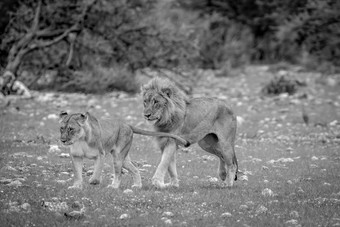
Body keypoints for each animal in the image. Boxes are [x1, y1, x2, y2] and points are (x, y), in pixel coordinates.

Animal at [59, 111, 190, 189]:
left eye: (71, 129)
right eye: (61, 128)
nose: (63, 140)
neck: (80, 140)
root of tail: (127, 124)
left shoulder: (100, 154)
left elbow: (97, 170)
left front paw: (93, 181)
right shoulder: (76, 156)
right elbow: (77, 173)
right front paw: (76, 186)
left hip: (118, 156)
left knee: (118, 175)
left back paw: (114, 187)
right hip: (124, 158)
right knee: (135, 169)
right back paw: (137, 186)